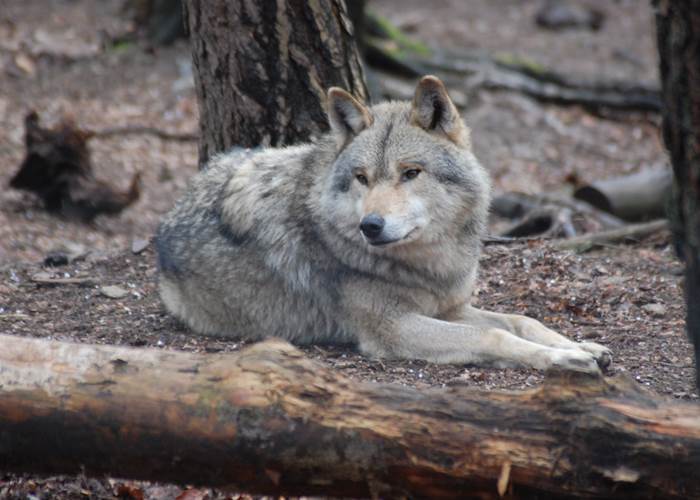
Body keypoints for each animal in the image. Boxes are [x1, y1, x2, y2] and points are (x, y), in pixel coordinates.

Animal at [156, 75, 611, 373]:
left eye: (410, 173)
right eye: (362, 178)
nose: (370, 226)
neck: (428, 266)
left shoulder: (449, 308)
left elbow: (523, 320)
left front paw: (582, 346)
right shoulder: (393, 328)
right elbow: (493, 336)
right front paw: (564, 359)